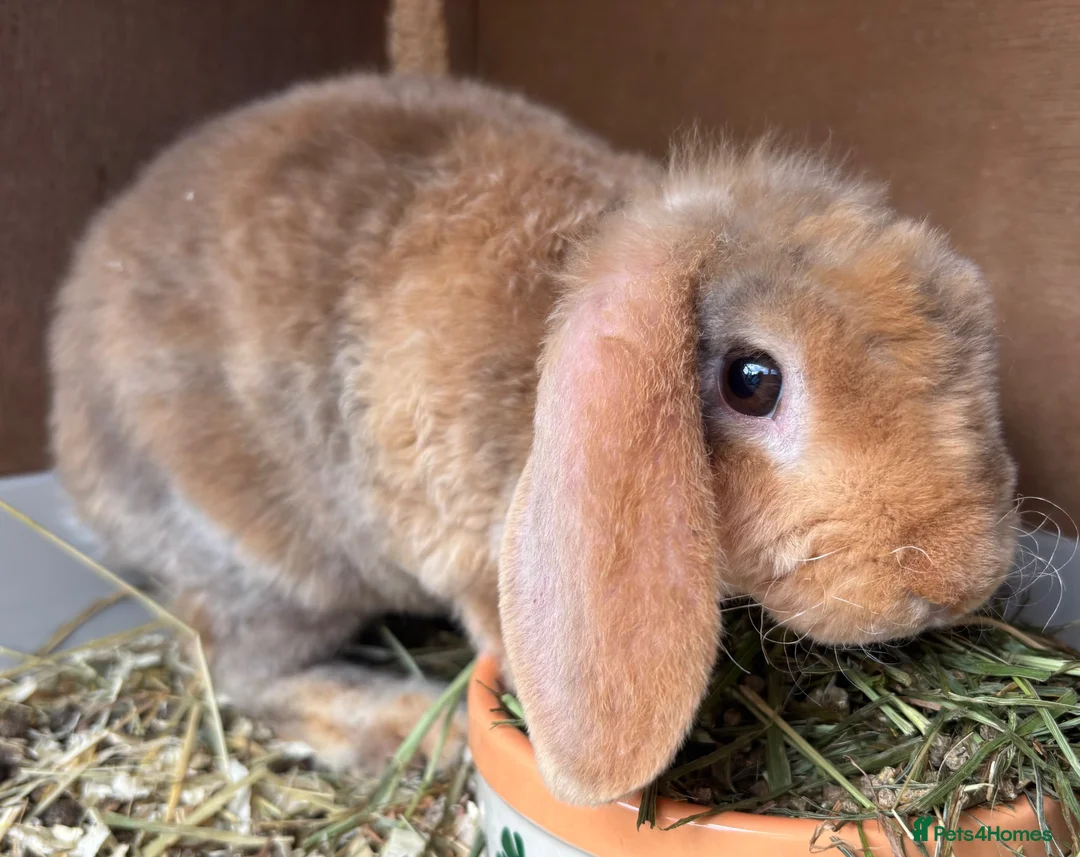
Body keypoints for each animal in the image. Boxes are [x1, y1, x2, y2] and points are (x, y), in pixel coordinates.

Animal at [49, 73, 1019, 807]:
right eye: (753, 380)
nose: (956, 579)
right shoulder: (469, 550)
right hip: (269, 564)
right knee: (237, 671)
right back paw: (416, 725)